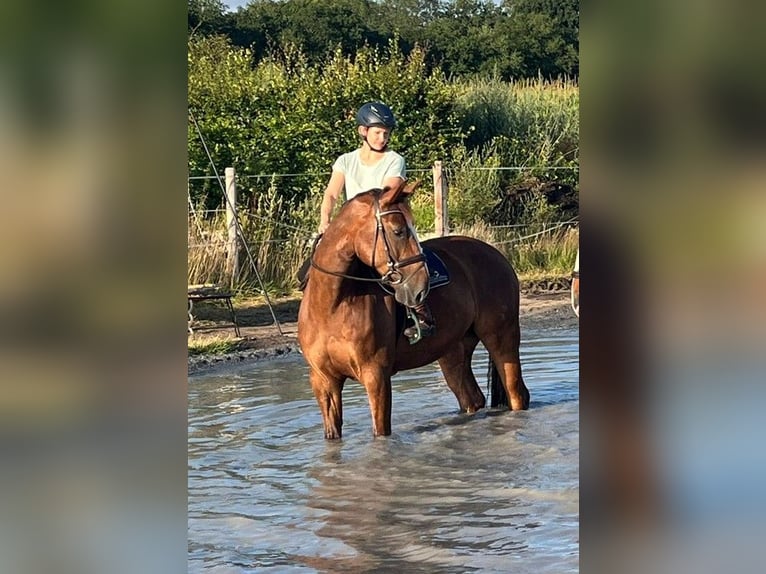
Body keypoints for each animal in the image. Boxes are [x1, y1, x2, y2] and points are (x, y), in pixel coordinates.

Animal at [297, 180, 530, 439]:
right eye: (398, 231)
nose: (421, 286)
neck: (333, 305)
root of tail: (497, 255)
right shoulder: (324, 382)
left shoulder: (376, 376)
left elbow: (380, 432)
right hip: (453, 350)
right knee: (472, 398)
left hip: (502, 338)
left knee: (516, 394)